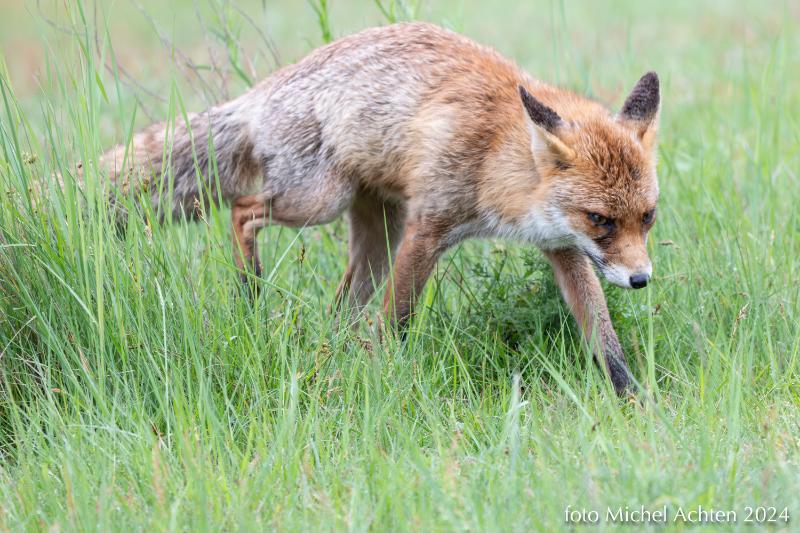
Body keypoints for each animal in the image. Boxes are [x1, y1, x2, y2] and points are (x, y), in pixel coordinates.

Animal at [98, 21, 664, 394]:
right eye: (601, 219)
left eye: (647, 217)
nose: (641, 280)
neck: (495, 159)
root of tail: (258, 94)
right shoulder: (427, 230)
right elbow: (396, 321)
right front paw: (380, 377)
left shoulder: (562, 247)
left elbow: (602, 335)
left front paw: (631, 399)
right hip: (319, 202)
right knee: (242, 208)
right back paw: (250, 289)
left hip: (375, 241)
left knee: (337, 310)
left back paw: (320, 347)